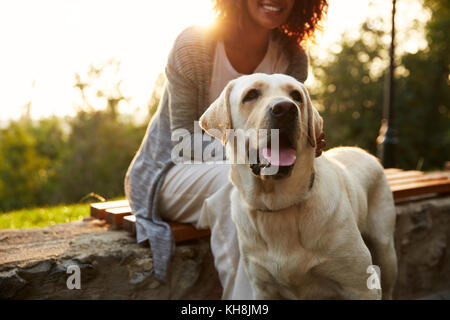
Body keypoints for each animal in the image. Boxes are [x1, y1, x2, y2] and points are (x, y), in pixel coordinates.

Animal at [200, 74, 398, 298]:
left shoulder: (360, 285)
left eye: (296, 96)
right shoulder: (263, 287)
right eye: (251, 95)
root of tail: (363, 151)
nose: (286, 108)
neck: (278, 206)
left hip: (385, 250)